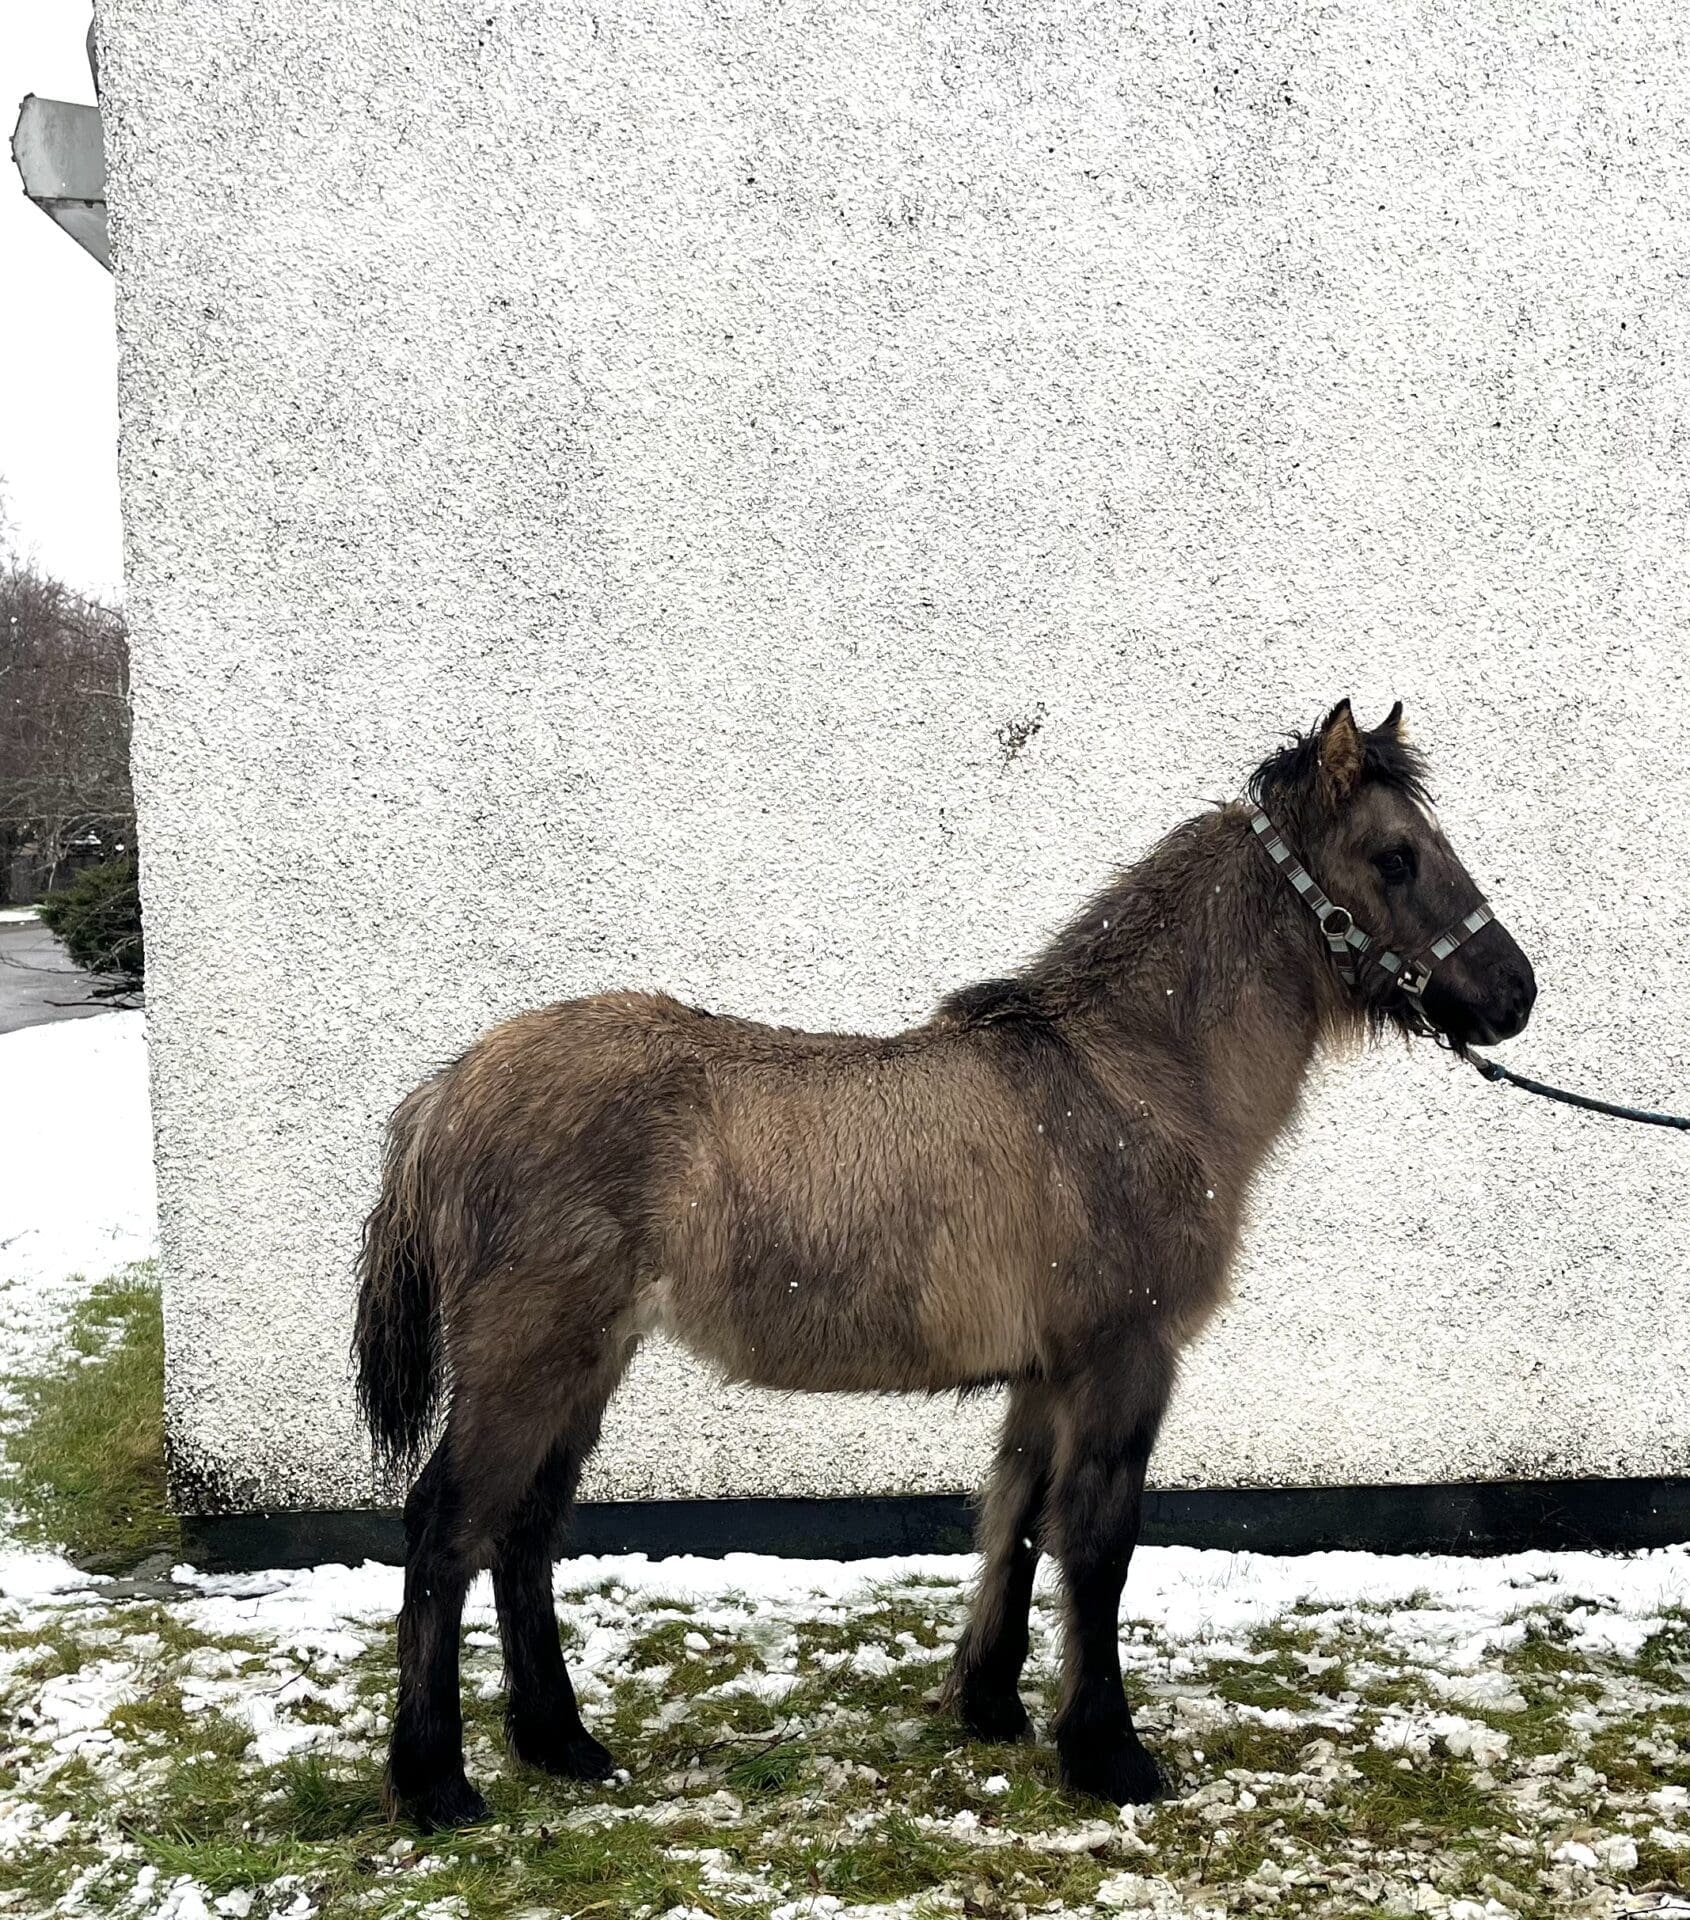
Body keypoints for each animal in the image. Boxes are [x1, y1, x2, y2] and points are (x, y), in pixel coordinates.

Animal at [354, 698, 1536, 1828]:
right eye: (1395, 856)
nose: (1514, 992)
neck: (1128, 1076)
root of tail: (448, 1089)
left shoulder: (1048, 1375)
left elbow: (1016, 1520)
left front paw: (990, 1705)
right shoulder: (1122, 1361)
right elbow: (1096, 1546)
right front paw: (1109, 1756)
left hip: (587, 1362)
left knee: (526, 1533)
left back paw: (563, 1746)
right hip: (528, 1356)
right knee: (447, 1531)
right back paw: (436, 1784)